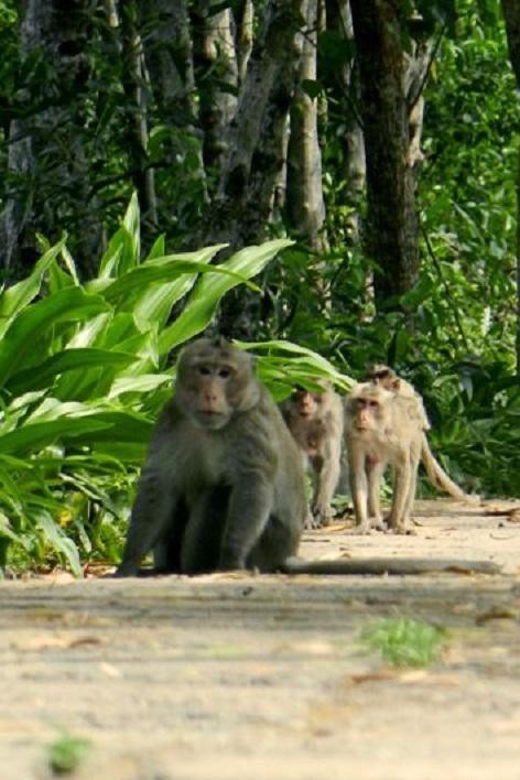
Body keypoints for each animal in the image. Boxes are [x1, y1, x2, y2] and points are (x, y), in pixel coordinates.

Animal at [116, 337, 308, 576]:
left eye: (224, 374)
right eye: (204, 371)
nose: (210, 395)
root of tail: (287, 554)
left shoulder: (252, 422)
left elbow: (252, 482)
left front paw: (231, 560)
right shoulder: (171, 416)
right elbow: (159, 484)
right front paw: (129, 563)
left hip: (268, 546)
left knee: (219, 492)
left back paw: (197, 568)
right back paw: (167, 567)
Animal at [280, 381, 346, 528]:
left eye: (312, 387)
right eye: (300, 388)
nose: (305, 403)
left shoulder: (332, 417)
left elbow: (330, 461)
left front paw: (322, 506)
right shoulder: (286, 417)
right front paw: (305, 515)